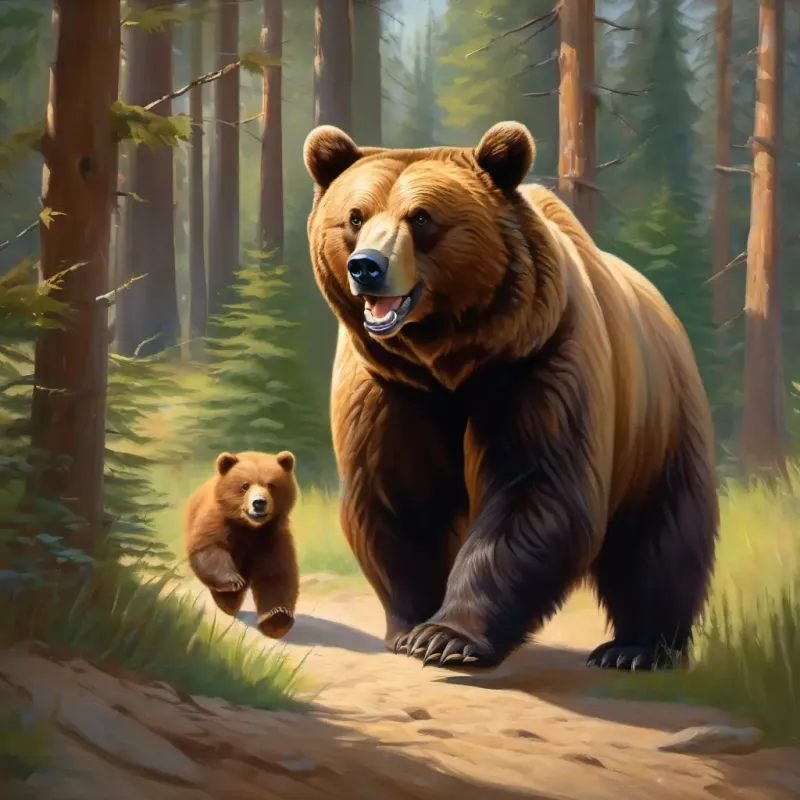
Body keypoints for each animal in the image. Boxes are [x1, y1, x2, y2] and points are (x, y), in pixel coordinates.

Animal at [183, 450, 299, 639]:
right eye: (245, 485)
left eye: (271, 485)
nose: (259, 503)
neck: (249, 527)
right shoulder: (218, 522)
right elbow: (208, 548)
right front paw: (233, 581)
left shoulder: (272, 536)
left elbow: (276, 575)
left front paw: (277, 618)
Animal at [302, 120, 719, 672]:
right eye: (355, 216)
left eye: (421, 217)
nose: (366, 266)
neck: (448, 360)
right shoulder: (389, 387)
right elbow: (399, 495)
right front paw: (412, 626)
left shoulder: (541, 362)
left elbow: (534, 490)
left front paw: (446, 637)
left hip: (660, 421)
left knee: (658, 533)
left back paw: (635, 647)